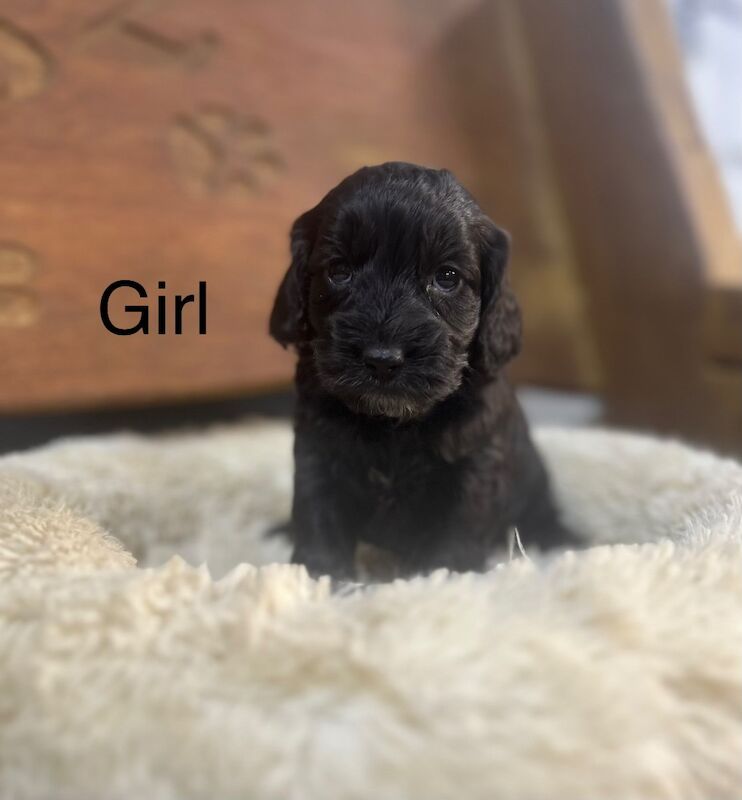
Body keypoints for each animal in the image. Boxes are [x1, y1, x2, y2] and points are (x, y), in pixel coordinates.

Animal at [270, 162, 572, 580]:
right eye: (339, 270)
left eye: (447, 277)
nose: (383, 358)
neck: (392, 423)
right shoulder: (318, 447)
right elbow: (317, 511)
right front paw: (322, 576)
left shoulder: (477, 457)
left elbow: (460, 522)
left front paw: (444, 575)